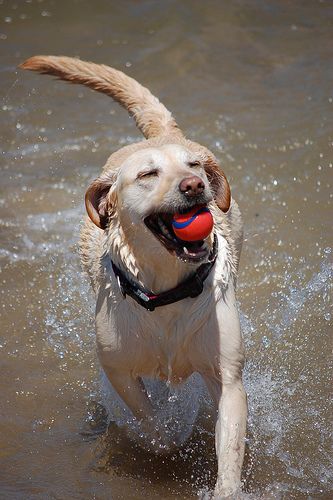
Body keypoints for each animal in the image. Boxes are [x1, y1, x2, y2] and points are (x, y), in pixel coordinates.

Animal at [20, 56, 246, 498]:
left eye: (193, 166)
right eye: (147, 175)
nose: (195, 185)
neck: (168, 291)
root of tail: (158, 134)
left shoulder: (227, 376)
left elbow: (229, 449)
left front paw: (225, 487)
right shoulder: (118, 368)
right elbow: (151, 423)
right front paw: (169, 439)